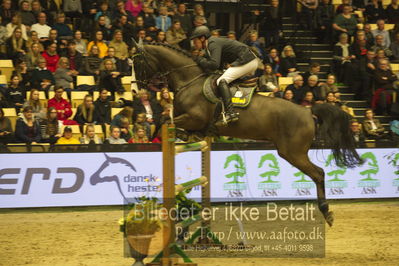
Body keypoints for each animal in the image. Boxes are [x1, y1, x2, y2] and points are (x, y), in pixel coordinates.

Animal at [134, 42, 362, 225]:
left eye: (138, 62)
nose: (136, 91)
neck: (189, 80)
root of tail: (307, 111)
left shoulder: (194, 118)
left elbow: (166, 121)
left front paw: (162, 136)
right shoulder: (192, 122)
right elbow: (167, 121)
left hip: (292, 153)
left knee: (319, 173)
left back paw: (326, 212)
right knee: (318, 174)